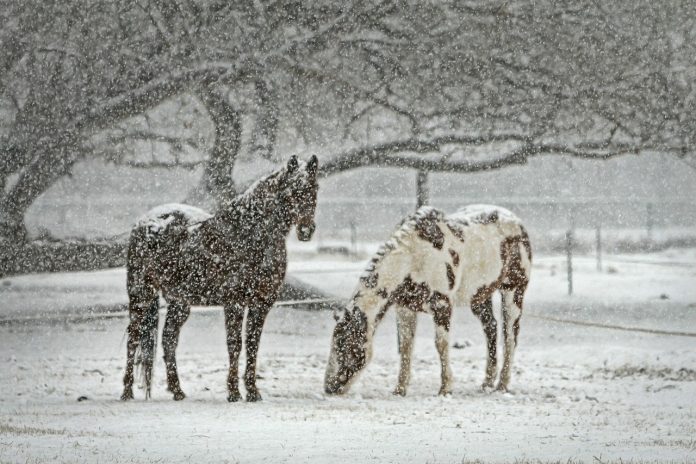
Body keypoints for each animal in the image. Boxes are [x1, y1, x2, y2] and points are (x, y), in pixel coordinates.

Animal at [121, 155, 319, 402]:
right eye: (292, 190)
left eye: (314, 188)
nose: (306, 230)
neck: (250, 234)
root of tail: (145, 222)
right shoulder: (234, 302)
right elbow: (235, 345)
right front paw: (233, 392)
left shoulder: (261, 304)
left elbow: (253, 345)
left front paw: (253, 391)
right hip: (141, 294)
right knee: (134, 337)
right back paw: (127, 391)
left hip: (179, 303)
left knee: (168, 340)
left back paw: (177, 391)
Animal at [324, 204, 531, 397]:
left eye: (346, 346)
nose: (329, 388)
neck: (413, 257)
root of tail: (517, 222)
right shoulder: (405, 308)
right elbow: (406, 346)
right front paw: (400, 389)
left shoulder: (442, 306)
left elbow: (441, 344)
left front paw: (445, 388)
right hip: (479, 297)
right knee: (491, 328)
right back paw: (487, 383)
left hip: (513, 291)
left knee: (510, 335)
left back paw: (502, 385)